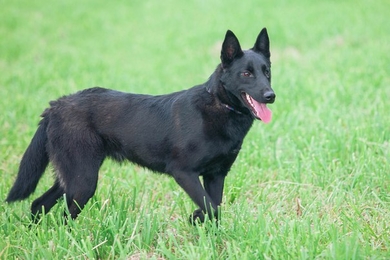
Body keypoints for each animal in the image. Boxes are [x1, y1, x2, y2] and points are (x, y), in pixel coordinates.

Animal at [5, 27, 274, 223]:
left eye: (267, 72)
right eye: (246, 74)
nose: (271, 95)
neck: (219, 105)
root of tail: (56, 105)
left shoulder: (216, 175)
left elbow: (214, 208)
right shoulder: (184, 173)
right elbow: (210, 207)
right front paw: (196, 217)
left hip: (73, 176)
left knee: (38, 204)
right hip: (83, 181)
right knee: (62, 216)